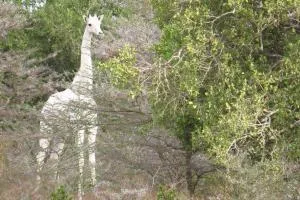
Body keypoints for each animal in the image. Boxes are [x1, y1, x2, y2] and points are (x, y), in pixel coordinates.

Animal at [37, 14, 104, 198]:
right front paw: (80, 194)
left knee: (54, 157)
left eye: (100, 23)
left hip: (61, 133)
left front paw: (95, 191)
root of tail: (45, 106)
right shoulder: (78, 126)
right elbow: (80, 159)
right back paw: (36, 189)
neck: (84, 90)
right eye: (89, 24)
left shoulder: (92, 125)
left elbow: (92, 159)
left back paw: (55, 187)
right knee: (40, 156)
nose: (100, 34)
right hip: (46, 128)